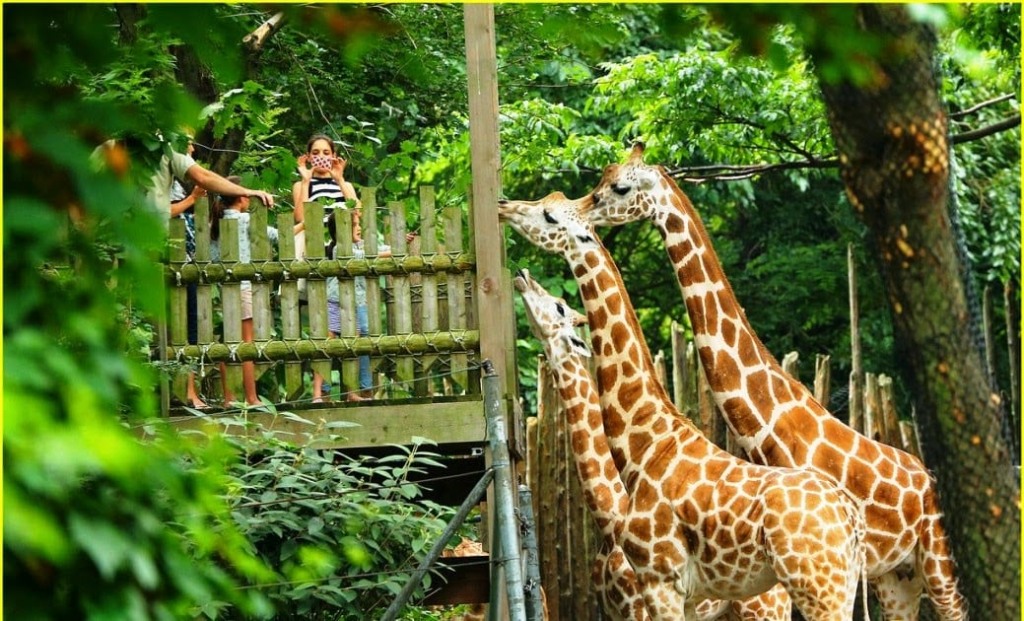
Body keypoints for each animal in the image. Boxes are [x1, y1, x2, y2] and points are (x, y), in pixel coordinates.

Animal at [512, 270, 790, 621]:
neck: (610, 514)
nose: (523, 275)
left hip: (763, 606)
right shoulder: (615, 611)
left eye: (559, 305)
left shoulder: (640, 606)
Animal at [585, 142, 966, 621]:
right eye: (603, 177)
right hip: (897, 577)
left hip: (938, 566)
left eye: (620, 186)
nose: (586, 206)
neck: (773, 428)